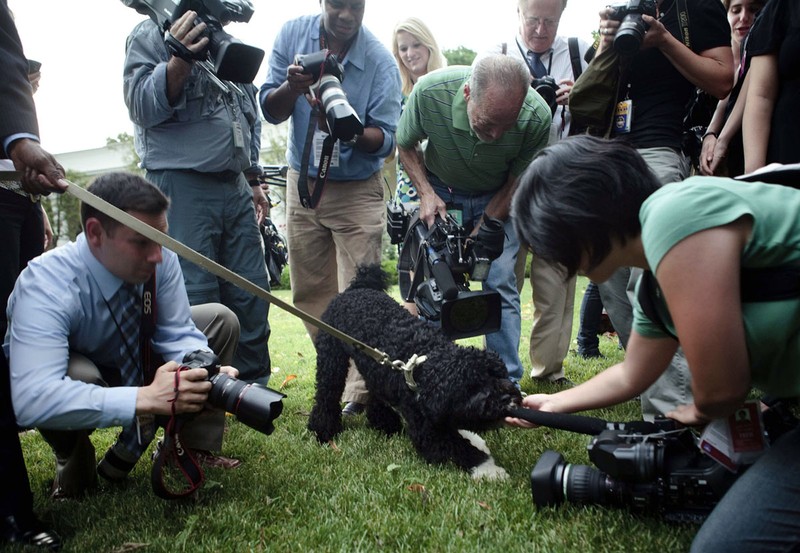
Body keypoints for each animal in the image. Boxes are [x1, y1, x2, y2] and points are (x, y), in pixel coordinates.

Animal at [304, 266, 520, 476]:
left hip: (374, 369)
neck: (424, 363)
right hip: (331, 359)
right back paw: (322, 430)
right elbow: (459, 448)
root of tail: (356, 289)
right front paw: (489, 470)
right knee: (327, 394)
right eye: (473, 387)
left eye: (499, 376)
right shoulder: (426, 428)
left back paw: (384, 424)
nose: (506, 398)